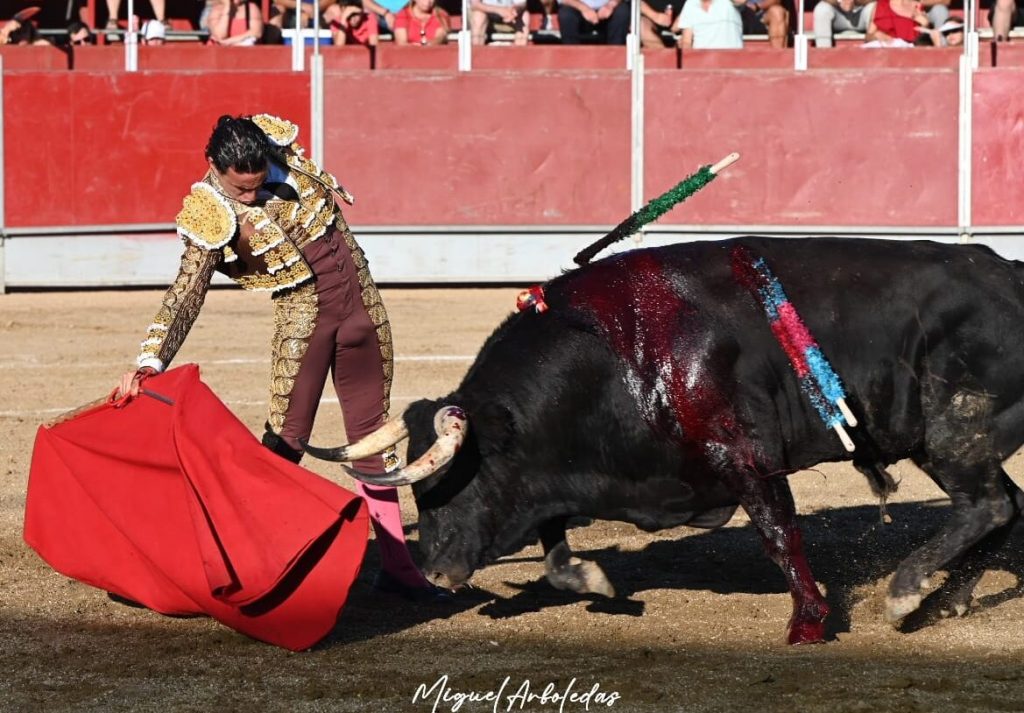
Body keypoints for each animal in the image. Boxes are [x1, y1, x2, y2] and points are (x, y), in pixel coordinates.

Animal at [307, 236, 1024, 643]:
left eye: (454, 481)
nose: (435, 571)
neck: (617, 355)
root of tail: (1010, 273)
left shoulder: (745, 456)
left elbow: (779, 534)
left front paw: (808, 622)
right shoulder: (560, 474)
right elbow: (554, 543)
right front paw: (593, 578)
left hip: (953, 431)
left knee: (986, 505)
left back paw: (906, 591)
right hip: (951, 442)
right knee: (1001, 507)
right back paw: (946, 598)